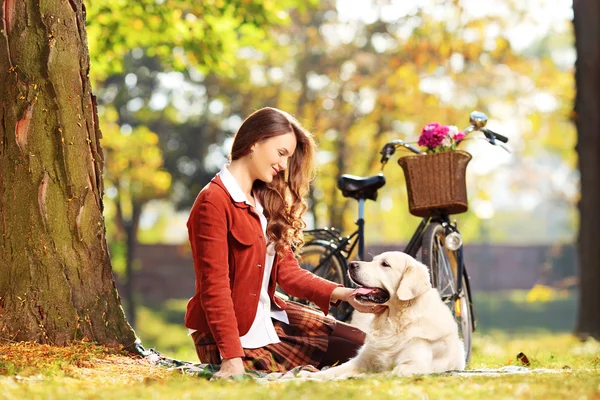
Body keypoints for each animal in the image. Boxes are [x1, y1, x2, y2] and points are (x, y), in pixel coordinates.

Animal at [308, 252, 466, 380]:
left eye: (385, 264)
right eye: (373, 260)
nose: (351, 264)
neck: (394, 321)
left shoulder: (413, 366)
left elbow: (379, 374)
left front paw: (352, 376)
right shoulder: (361, 359)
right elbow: (334, 370)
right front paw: (308, 376)